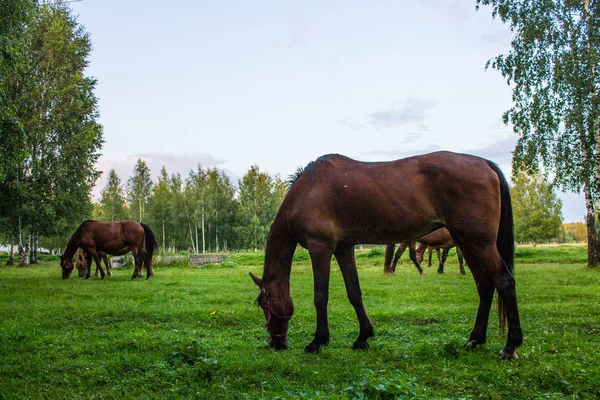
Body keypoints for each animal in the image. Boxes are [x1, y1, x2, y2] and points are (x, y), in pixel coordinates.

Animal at [248, 152, 520, 360]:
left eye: (264, 303)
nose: (276, 342)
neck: (307, 190)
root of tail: (485, 163)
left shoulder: (321, 248)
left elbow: (320, 296)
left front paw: (318, 341)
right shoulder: (344, 248)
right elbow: (354, 293)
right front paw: (363, 336)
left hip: (479, 242)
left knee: (504, 282)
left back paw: (510, 346)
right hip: (467, 242)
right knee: (485, 285)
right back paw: (475, 339)